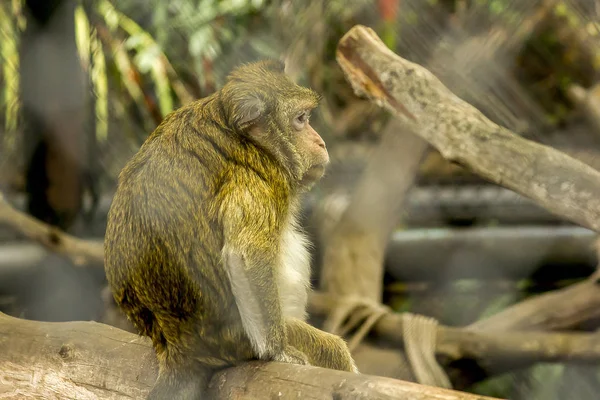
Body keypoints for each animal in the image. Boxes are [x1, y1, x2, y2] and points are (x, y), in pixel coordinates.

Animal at [103, 60, 358, 400]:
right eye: (300, 120)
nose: (321, 142)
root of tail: (178, 346)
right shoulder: (259, 173)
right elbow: (246, 255)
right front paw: (277, 352)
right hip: (239, 342)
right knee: (330, 350)